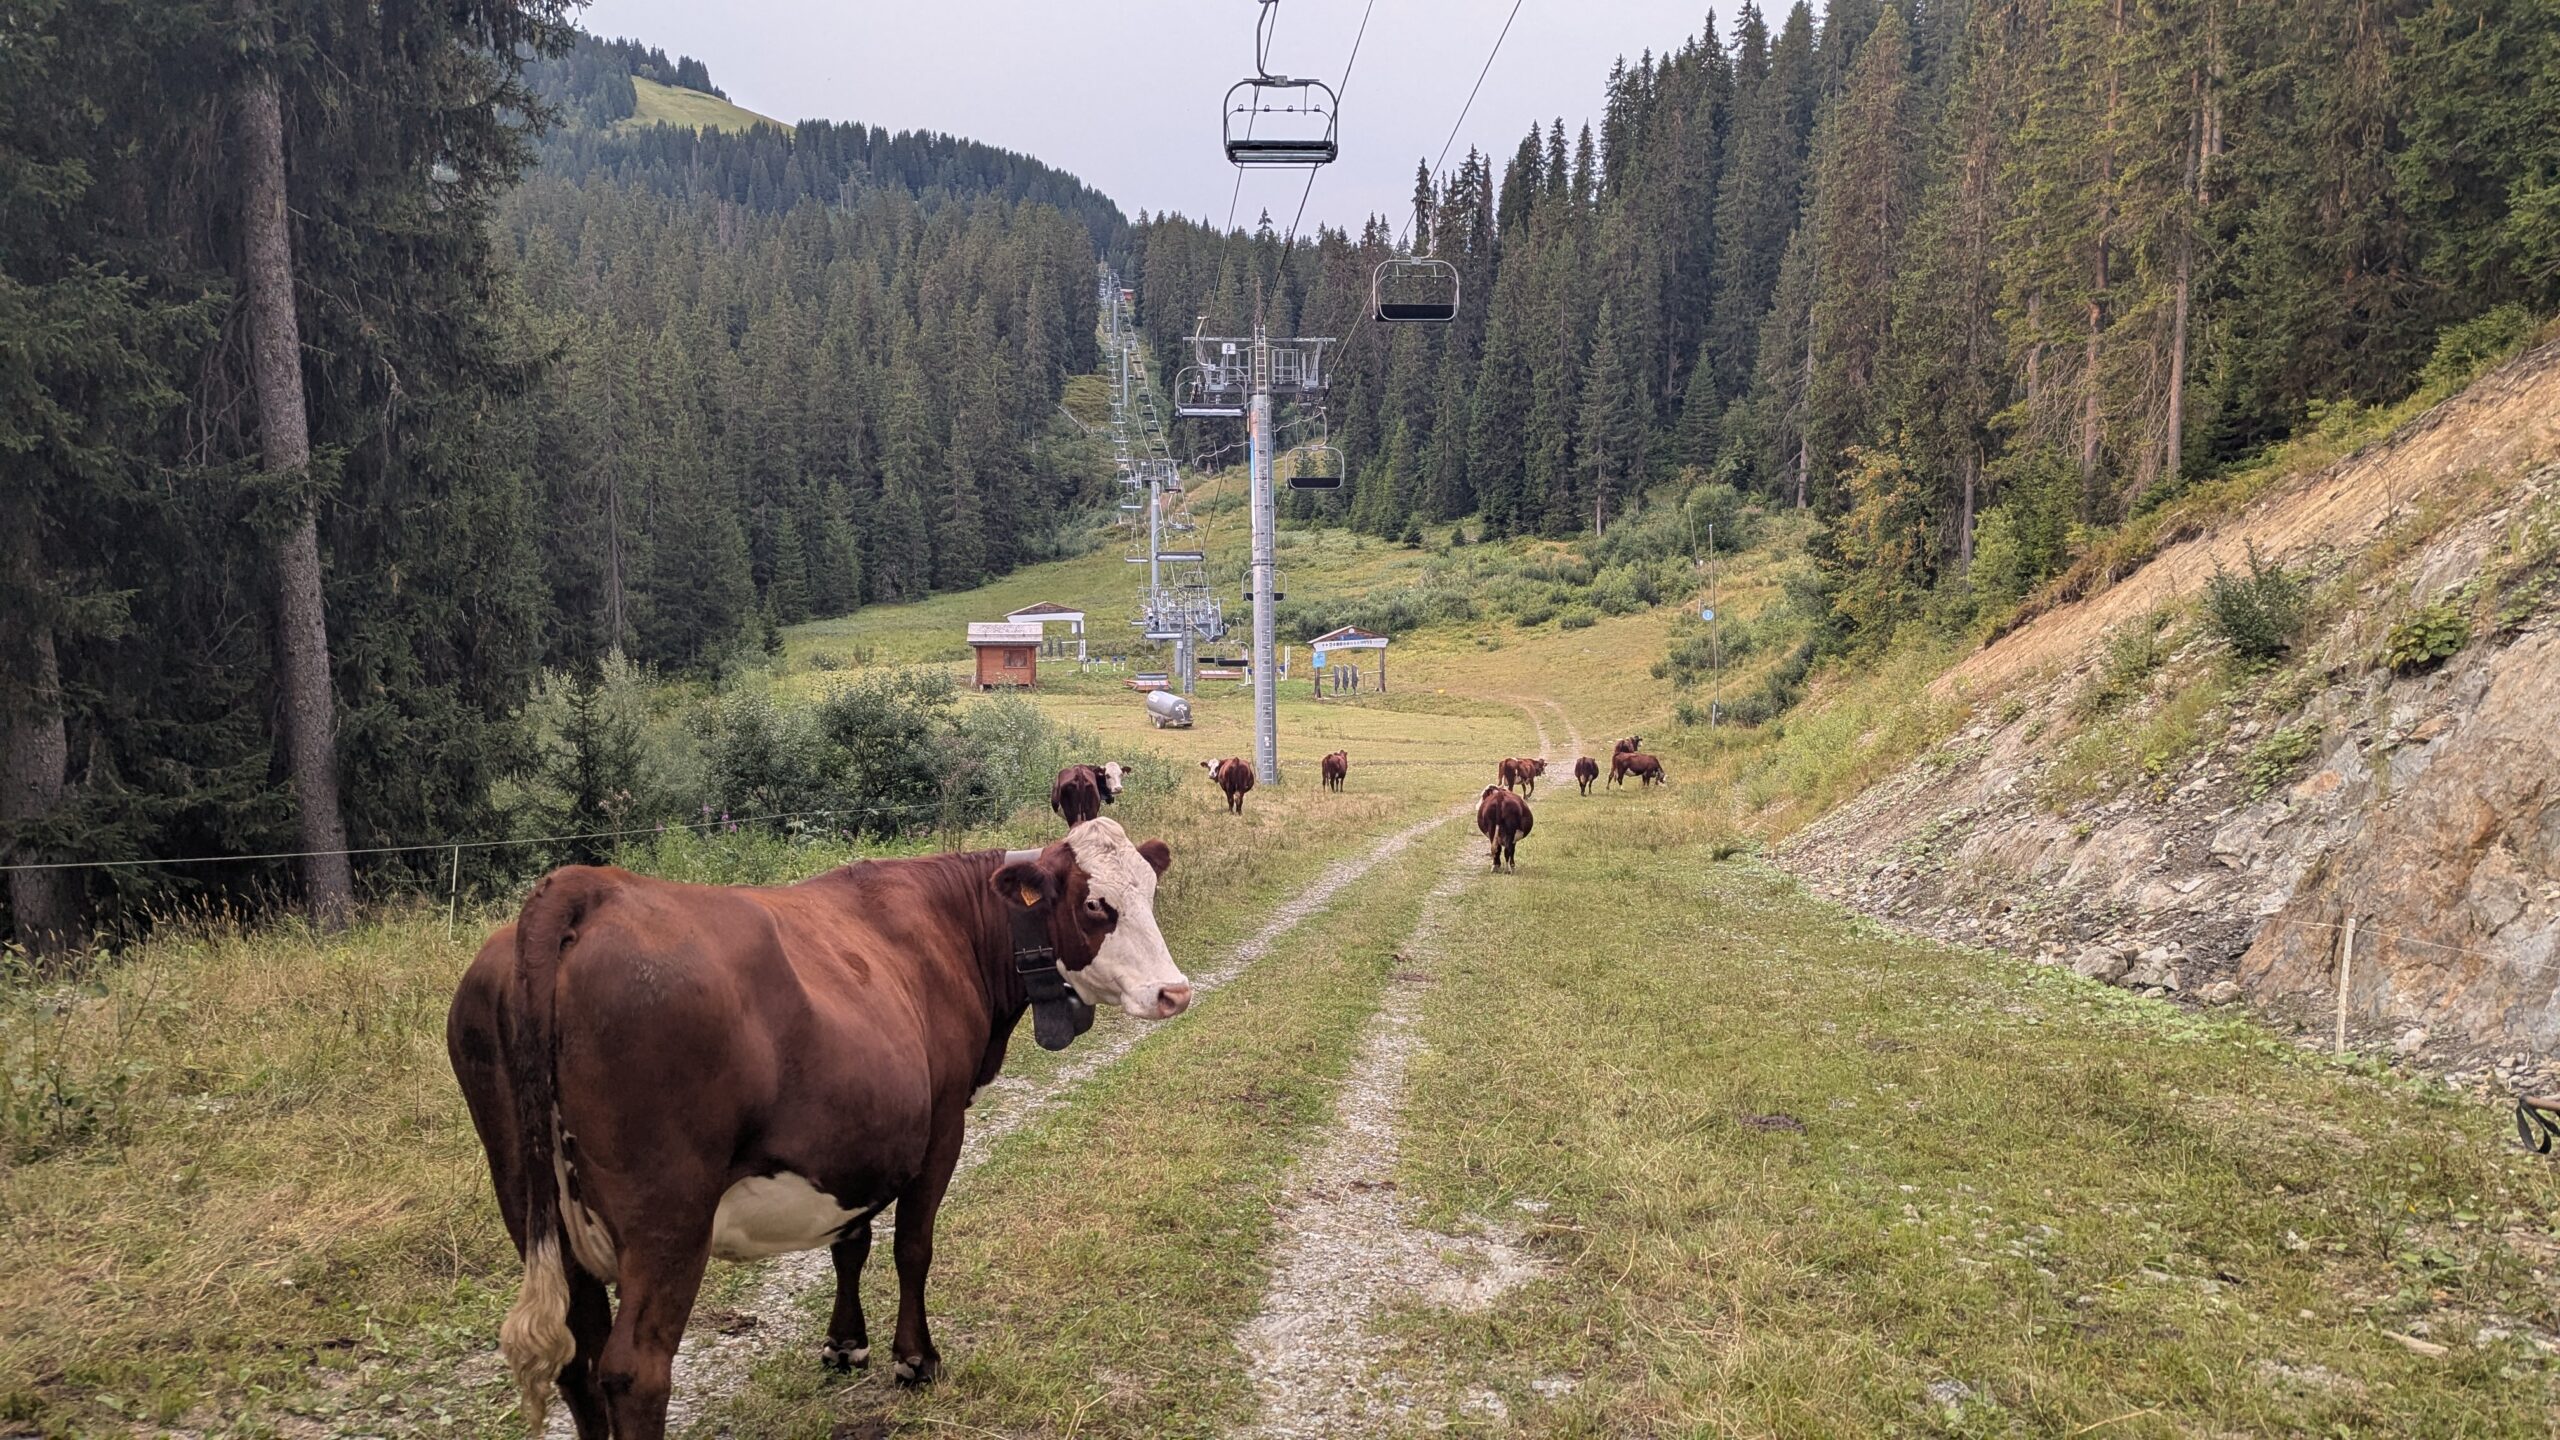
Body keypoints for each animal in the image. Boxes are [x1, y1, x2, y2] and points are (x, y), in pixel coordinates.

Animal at [446, 820, 1187, 1438]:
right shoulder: (942, 1122)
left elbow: (850, 1241)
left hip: (530, 1203)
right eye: (1095, 906)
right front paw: (915, 1360)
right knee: (633, 1371)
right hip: (667, 1215)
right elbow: (912, 1246)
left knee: (578, 1356)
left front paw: (844, 1344)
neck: (949, 928)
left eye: (1150, 893)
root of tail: (590, 888)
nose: (1174, 992)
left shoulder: (853, 1135)